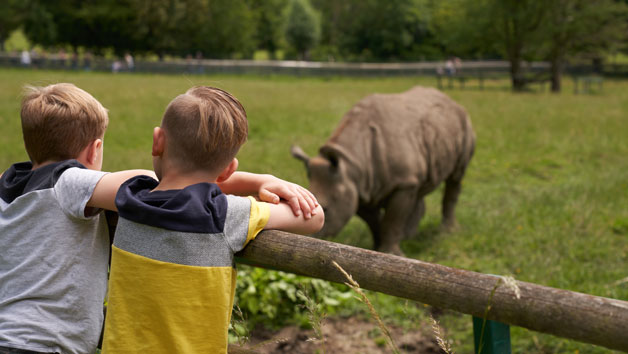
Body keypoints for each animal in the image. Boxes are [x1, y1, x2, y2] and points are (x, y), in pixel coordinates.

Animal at [292, 87, 474, 256]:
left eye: (326, 209)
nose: (306, 241)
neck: (351, 164)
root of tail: (451, 100)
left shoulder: (401, 184)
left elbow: (392, 220)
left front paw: (391, 253)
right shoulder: (359, 188)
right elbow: (374, 221)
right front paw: (376, 249)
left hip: (464, 122)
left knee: (455, 178)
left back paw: (448, 231)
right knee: (419, 188)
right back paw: (409, 237)